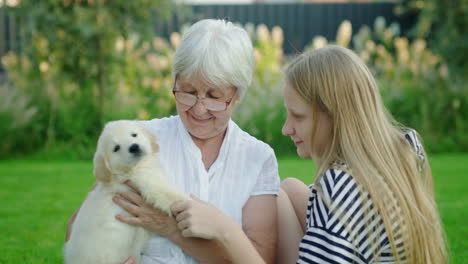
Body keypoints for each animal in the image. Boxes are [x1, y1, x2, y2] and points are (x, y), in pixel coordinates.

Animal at [64, 120, 188, 264]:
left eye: (134, 135)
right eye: (116, 148)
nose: (134, 147)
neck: (130, 169)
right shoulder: (149, 181)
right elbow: (168, 193)